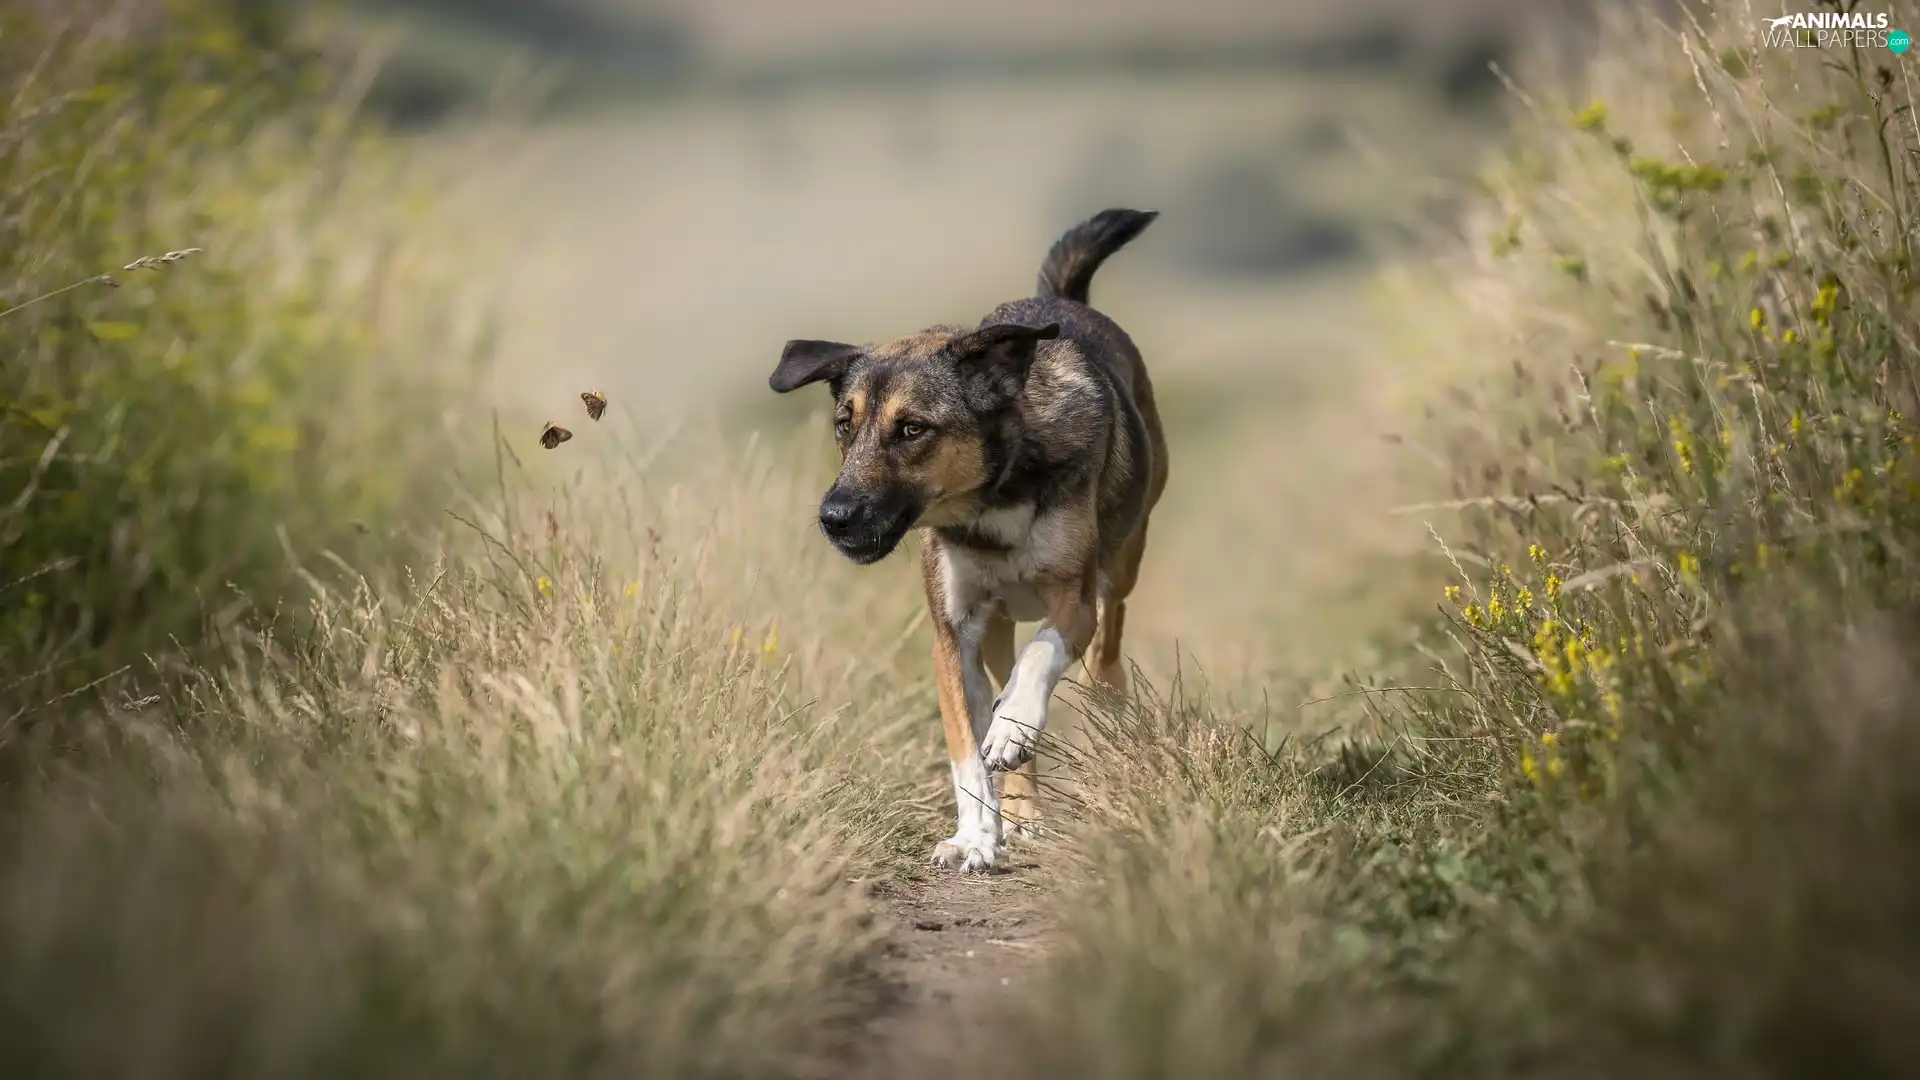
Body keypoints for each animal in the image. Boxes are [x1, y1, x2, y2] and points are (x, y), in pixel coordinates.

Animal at [768, 205, 1167, 868]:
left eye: (912, 429)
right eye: (844, 425)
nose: (835, 516)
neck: (990, 504)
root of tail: (1061, 300)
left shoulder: (1073, 596)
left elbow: (1042, 654)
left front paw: (1014, 724)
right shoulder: (952, 635)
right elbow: (965, 752)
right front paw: (978, 835)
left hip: (1123, 567)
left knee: (1104, 648)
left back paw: (1092, 707)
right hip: (997, 627)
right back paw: (1022, 810)